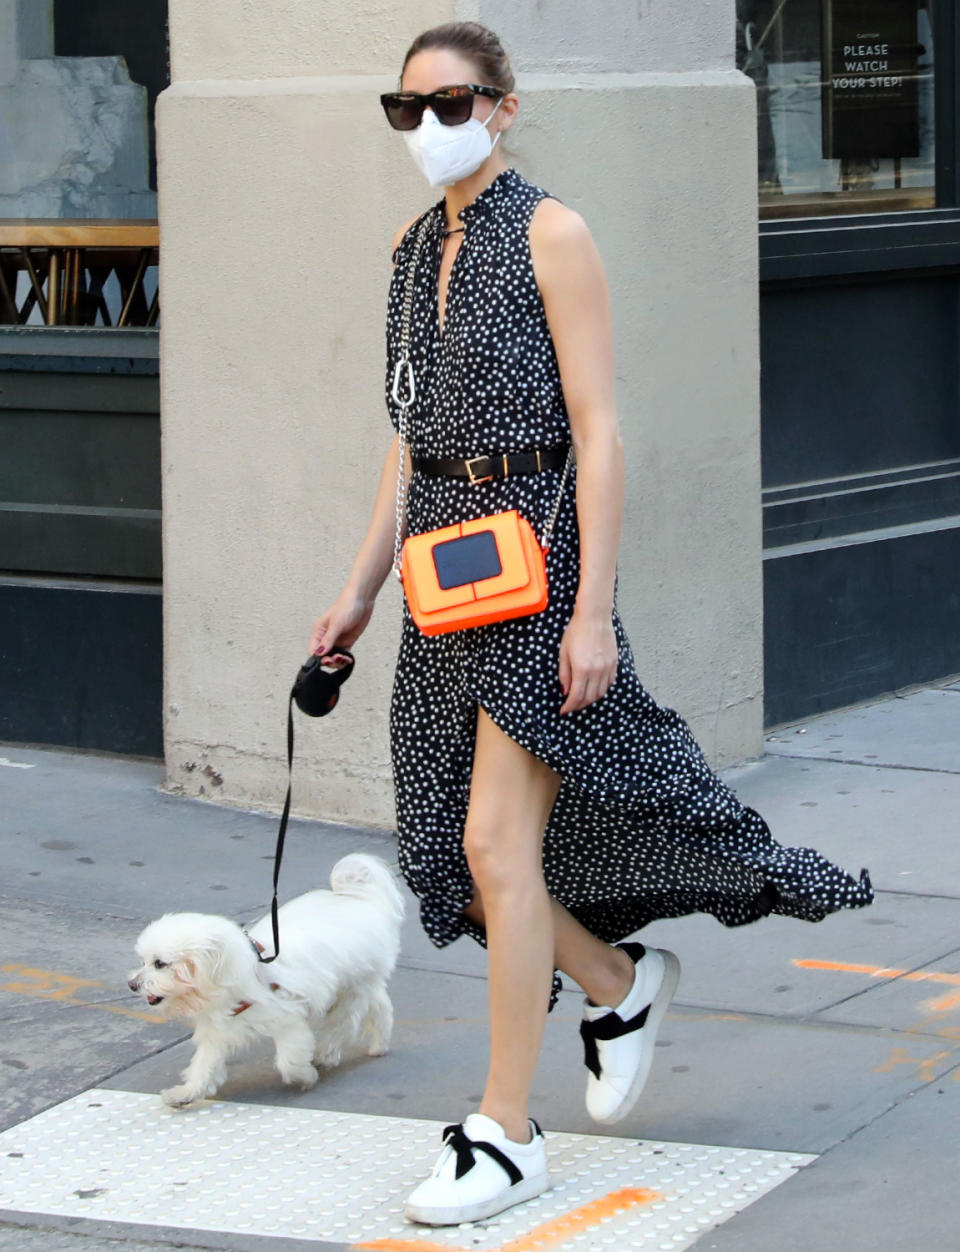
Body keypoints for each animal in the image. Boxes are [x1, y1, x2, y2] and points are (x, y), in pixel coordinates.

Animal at [126, 851, 400, 1106]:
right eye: (142, 962)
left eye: (160, 964)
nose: (132, 984)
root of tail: (359, 898)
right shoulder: (218, 1031)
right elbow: (205, 1066)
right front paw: (186, 1093)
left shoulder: (288, 1019)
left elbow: (289, 1061)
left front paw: (306, 1077)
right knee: (379, 1004)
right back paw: (379, 1044)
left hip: (354, 986)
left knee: (343, 1020)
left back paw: (328, 1053)